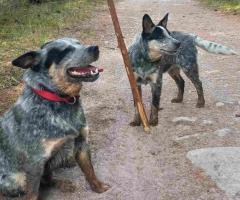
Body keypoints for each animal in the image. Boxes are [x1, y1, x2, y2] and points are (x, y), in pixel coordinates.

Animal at [0, 38, 110, 199]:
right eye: (64, 51)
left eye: (79, 42)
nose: (95, 48)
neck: (58, 99)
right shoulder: (35, 161)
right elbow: (32, 193)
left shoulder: (81, 143)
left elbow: (89, 169)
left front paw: (98, 187)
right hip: (16, 178)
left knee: (46, 178)